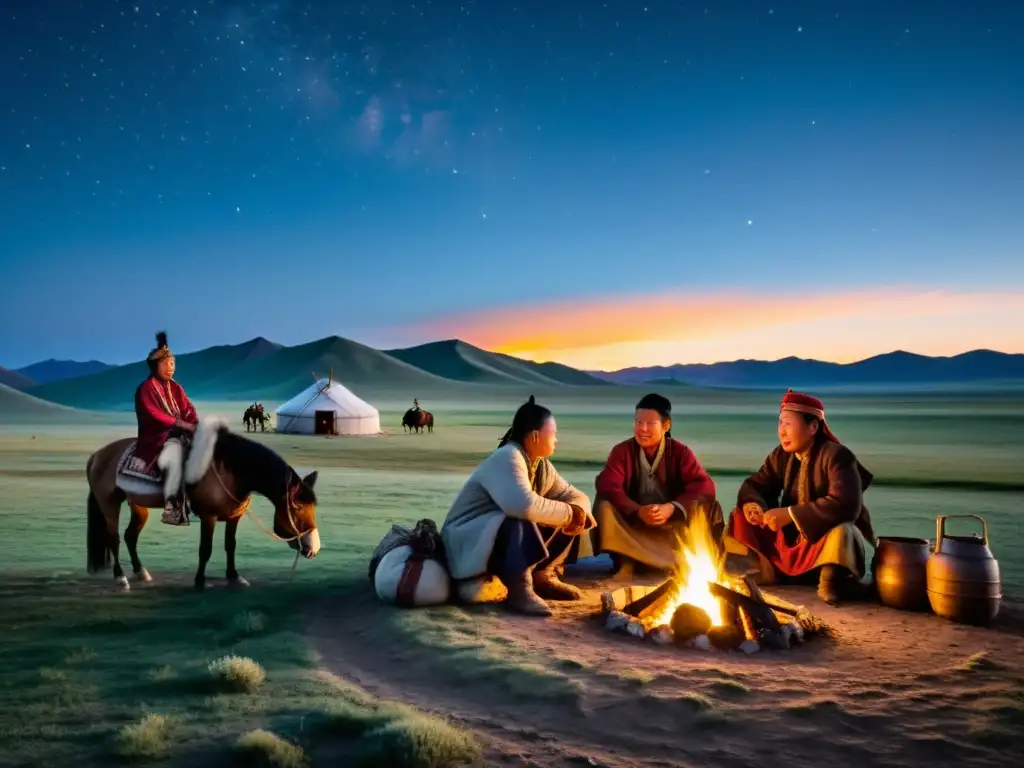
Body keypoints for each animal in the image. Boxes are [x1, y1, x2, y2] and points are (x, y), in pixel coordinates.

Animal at [86, 417, 321, 593]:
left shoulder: (234, 516)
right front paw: (199, 581)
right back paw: (121, 578)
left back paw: (141, 572)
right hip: (109, 503)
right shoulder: (209, 517)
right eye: (297, 508)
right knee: (114, 538)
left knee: (130, 536)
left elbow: (230, 545)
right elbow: (205, 549)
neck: (232, 470)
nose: (314, 548)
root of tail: (97, 455)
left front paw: (234, 577)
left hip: (137, 504)